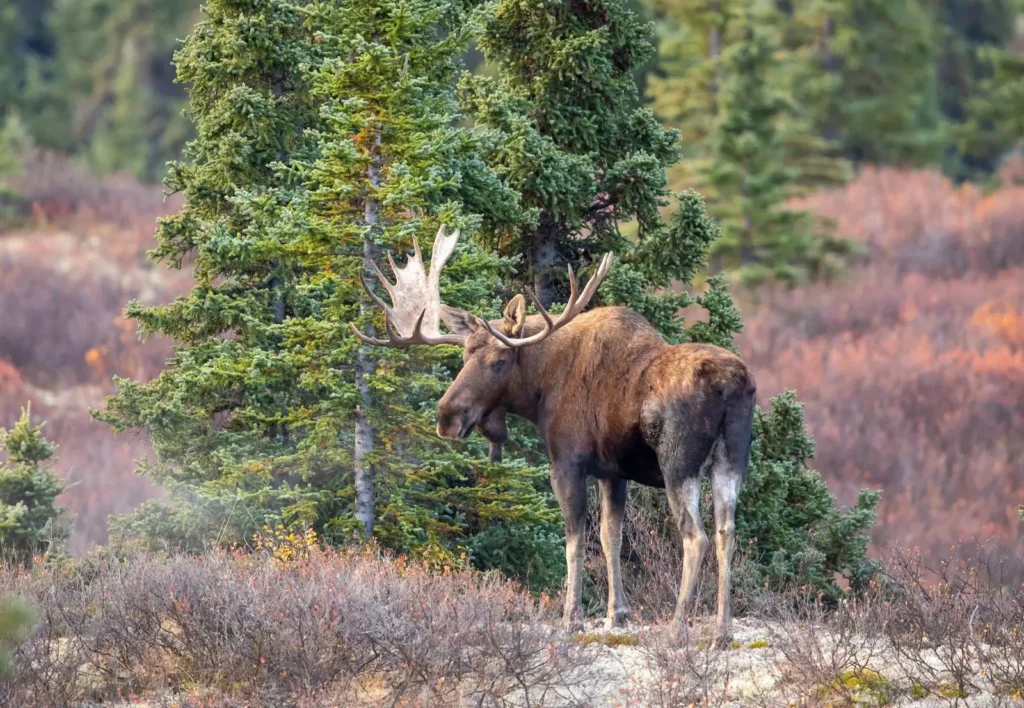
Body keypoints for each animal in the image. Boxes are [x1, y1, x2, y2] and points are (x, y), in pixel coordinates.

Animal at [351, 225, 756, 646]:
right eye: (464, 356)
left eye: (500, 361)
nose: (447, 416)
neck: (541, 389)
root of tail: (731, 384)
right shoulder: (612, 473)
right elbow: (610, 537)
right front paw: (617, 614)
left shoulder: (566, 463)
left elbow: (574, 543)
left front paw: (570, 618)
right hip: (731, 461)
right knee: (727, 531)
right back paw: (722, 629)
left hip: (678, 464)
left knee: (695, 536)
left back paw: (679, 625)